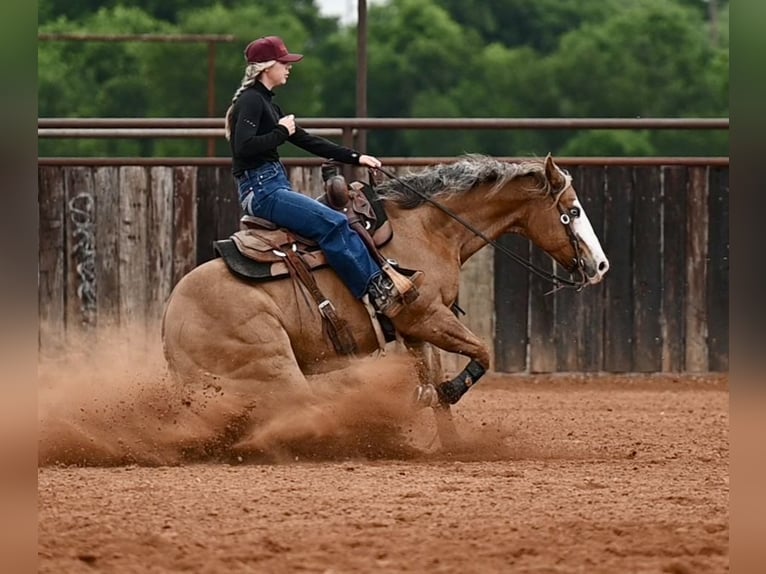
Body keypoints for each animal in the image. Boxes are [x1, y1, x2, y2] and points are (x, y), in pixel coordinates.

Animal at [161, 154, 609, 452]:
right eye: (572, 211)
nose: (600, 265)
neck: (428, 229)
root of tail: (170, 320)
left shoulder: (416, 331)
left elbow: (433, 378)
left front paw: (451, 443)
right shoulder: (427, 315)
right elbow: (481, 354)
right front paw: (447, 391)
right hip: (272, 365)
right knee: (300, 407)